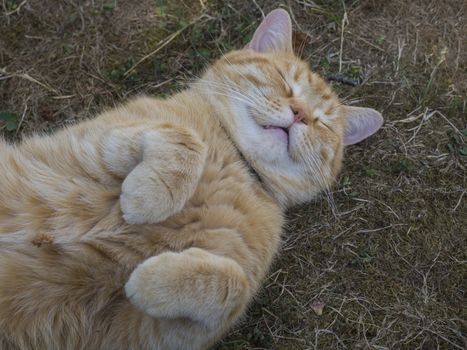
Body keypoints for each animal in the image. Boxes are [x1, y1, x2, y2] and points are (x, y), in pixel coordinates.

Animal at [0, 8, 382, 350]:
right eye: (283, 79)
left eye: (323, 122)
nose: (300, 114)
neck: (235, 160)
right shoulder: (92, 141)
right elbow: (184, 138)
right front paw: (146, 200)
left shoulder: (155, 331)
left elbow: (234, 285)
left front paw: (148, 281)